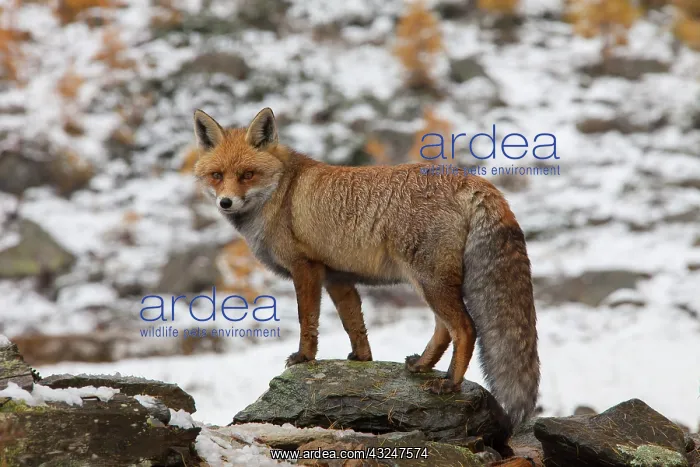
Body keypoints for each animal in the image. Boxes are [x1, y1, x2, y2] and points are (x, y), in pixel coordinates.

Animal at [191, 107, 540, 433]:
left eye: (247, 174)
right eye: (217, 175)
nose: (225, 202)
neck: (283, 195)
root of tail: (473, 179)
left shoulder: (306, 268)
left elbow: (307, 321)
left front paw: (304, 358)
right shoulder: (337, 277)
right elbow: (354, 325)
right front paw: (361, 360)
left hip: (430, 281)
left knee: (466, 329)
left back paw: (450, 384)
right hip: (430, 283)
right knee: (445, 330)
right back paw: (421, 365)